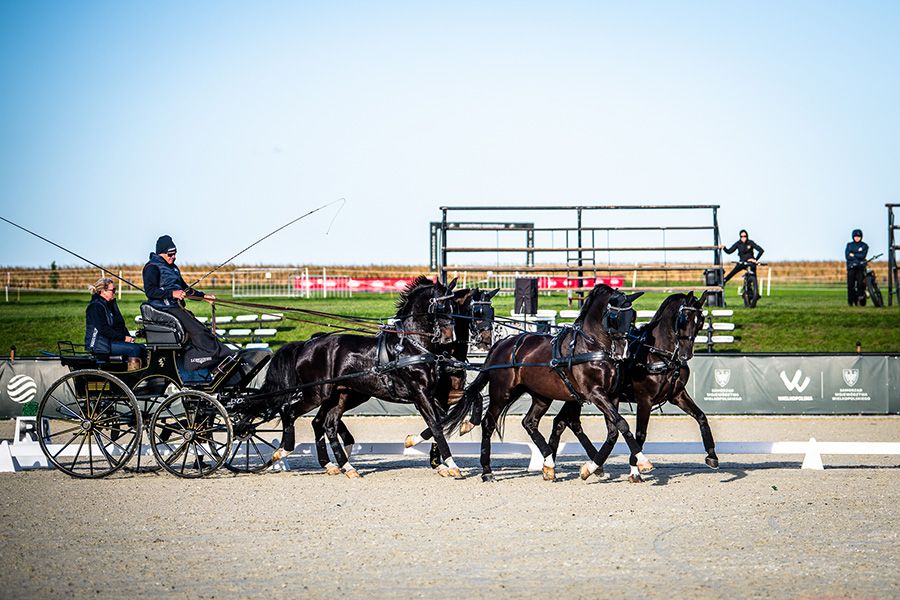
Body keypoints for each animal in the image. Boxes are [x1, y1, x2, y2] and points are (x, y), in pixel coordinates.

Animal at [259, 276, 461, 477]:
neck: (411, 346)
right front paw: (452, 465)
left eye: (454, 306)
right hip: (316, 394)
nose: (450, 338)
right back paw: (283, 452)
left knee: (325, 424)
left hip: (340, 396)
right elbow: (436, 425)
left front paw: (424, 451)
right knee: (289, 411)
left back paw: (341, 466)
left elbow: (441, 422)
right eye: (441, 306)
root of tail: (306, 345)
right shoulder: (420, 393)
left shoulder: (431, 395)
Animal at [446, 284, 646, 482]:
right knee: (489, 423)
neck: (591, 347)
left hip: (541, 396)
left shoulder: (612, 396)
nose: (624, 352)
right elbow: (622, 424)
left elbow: (614, 431)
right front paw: (642, 461)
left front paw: (591, 468)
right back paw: (487, 471)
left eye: (633, 315)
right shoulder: (595, 393)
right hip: (503, 392)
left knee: (529, 422)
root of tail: (501, 344)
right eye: (614, 317)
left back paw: (549, 464)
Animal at [546, 291, 716, 483]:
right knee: (566, 422)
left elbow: (701, 417)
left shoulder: (677, 395)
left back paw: (553, 465)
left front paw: (712, 456)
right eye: (683, 319)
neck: (657, 354)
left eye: (700, 321)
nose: (685, 354)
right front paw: (636, 469)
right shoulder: (645, 400)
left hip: (576, 397)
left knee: (562, 422)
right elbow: (640, 434)